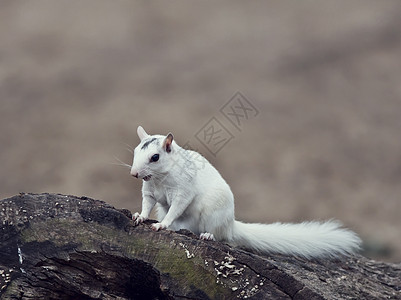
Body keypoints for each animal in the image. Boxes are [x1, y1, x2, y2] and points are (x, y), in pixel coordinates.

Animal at [130, 125, 360, 258]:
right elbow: (147, 205)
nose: (133, 173)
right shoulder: (149, 192)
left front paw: (162, 224)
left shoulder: (183, 191)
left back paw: (207, 235)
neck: (159, 179)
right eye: (135, 151)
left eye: (155, 157)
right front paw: (140, 216)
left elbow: (176, 208)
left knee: (219, 235)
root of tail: (231, 225)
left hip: (213, 214)